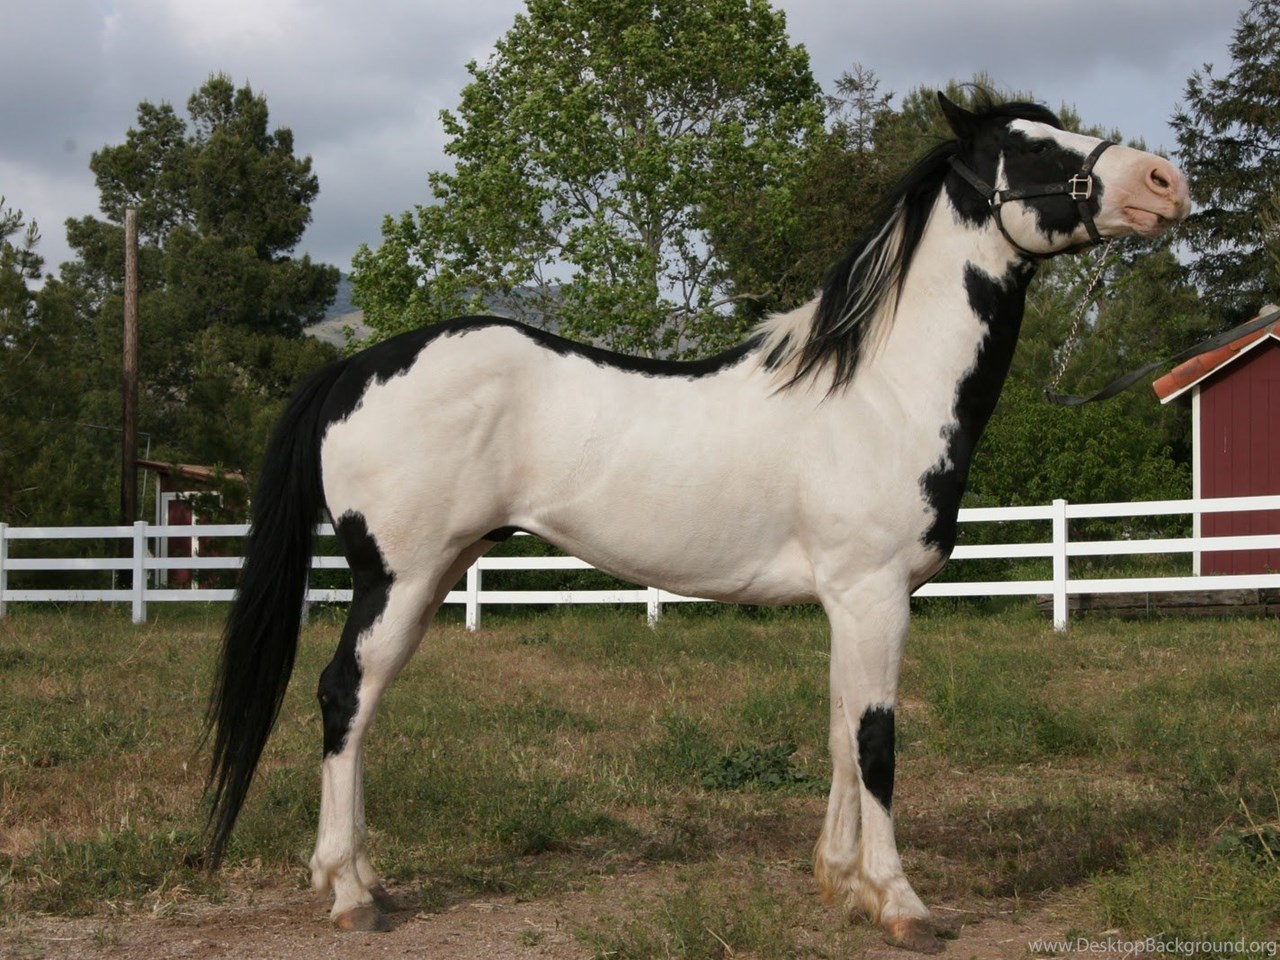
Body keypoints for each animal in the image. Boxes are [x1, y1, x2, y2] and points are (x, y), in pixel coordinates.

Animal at [205, 92, 1190, 952]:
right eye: (1032, 148)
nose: (1165, 182)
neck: (880, 393)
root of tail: (358, 364)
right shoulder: (873, 593)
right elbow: (876, 740)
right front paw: (902, 904)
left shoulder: (853, 602)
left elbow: (840, 728)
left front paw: (844, 884)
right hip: (399, 577)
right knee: (345, 695)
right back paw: (349, 894)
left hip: (434, 576)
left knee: (361, 705)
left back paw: (365, 882)